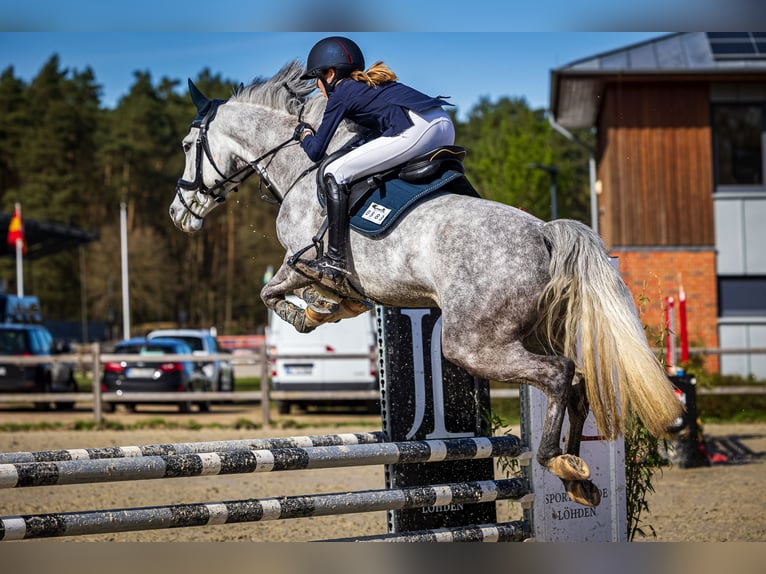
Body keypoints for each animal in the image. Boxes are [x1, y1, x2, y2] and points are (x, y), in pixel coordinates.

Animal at [168, 59, 684, 508]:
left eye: (187, 145)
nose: (178, 214)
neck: (300, 165)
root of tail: (544, 233)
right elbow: (294, 294)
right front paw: (329, 306)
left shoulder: (300, 259)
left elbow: (273, 292)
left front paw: (310, 311)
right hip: (530, 332)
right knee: (576, 382)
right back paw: (576, 476)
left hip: (473, 343)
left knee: (559, 373)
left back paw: (554, 460)